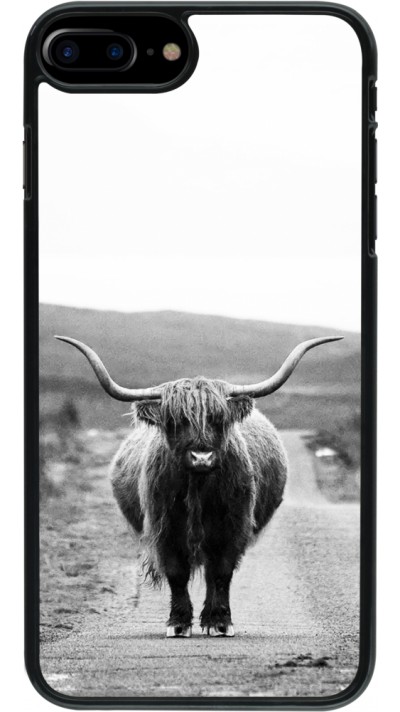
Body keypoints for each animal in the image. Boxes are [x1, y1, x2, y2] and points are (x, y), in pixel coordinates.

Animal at [56, 334, 342, 638]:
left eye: (218, 419)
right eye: (175, 421)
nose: (201, 457)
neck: (198, 488)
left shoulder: (233, 527)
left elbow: (221, 573)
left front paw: (219, 621)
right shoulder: (164, 528)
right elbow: (177, 573)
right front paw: (178, 623)